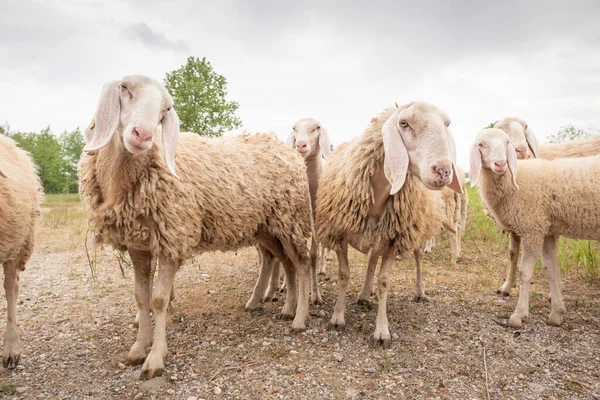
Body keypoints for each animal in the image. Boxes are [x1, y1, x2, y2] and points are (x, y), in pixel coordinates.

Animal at [78, 76, 314, 380]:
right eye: (124, 88)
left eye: (166, 108)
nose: (142, 135)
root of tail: (287, 150)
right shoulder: (137, 245)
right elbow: (141, 298)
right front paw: (138, 348)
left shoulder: (171, 237)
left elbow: (158, 300)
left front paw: (155, 358)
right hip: (269, 227)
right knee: (285, 262)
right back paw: (286, 308)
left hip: (291, 220)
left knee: (302, 264)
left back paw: (299, 318)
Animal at [316, 101, 462, 346]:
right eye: (403, 123)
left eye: (448, 124)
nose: (443, 171)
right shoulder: (340, 233)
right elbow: (344, 274)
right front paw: (337, 318)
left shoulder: (394, 238)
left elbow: (383, 282)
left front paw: (382, 331)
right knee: (372, 259)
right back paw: (364, 294)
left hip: (411, 231)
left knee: (418, 257)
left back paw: (420, 291)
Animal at [492, 117, 600, 296]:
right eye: (502, 130)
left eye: (525, 128)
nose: (521, 149)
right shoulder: (516, 222)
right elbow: (513, 254)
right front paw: (507, 286)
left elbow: (551, 260)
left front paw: (555, 291)